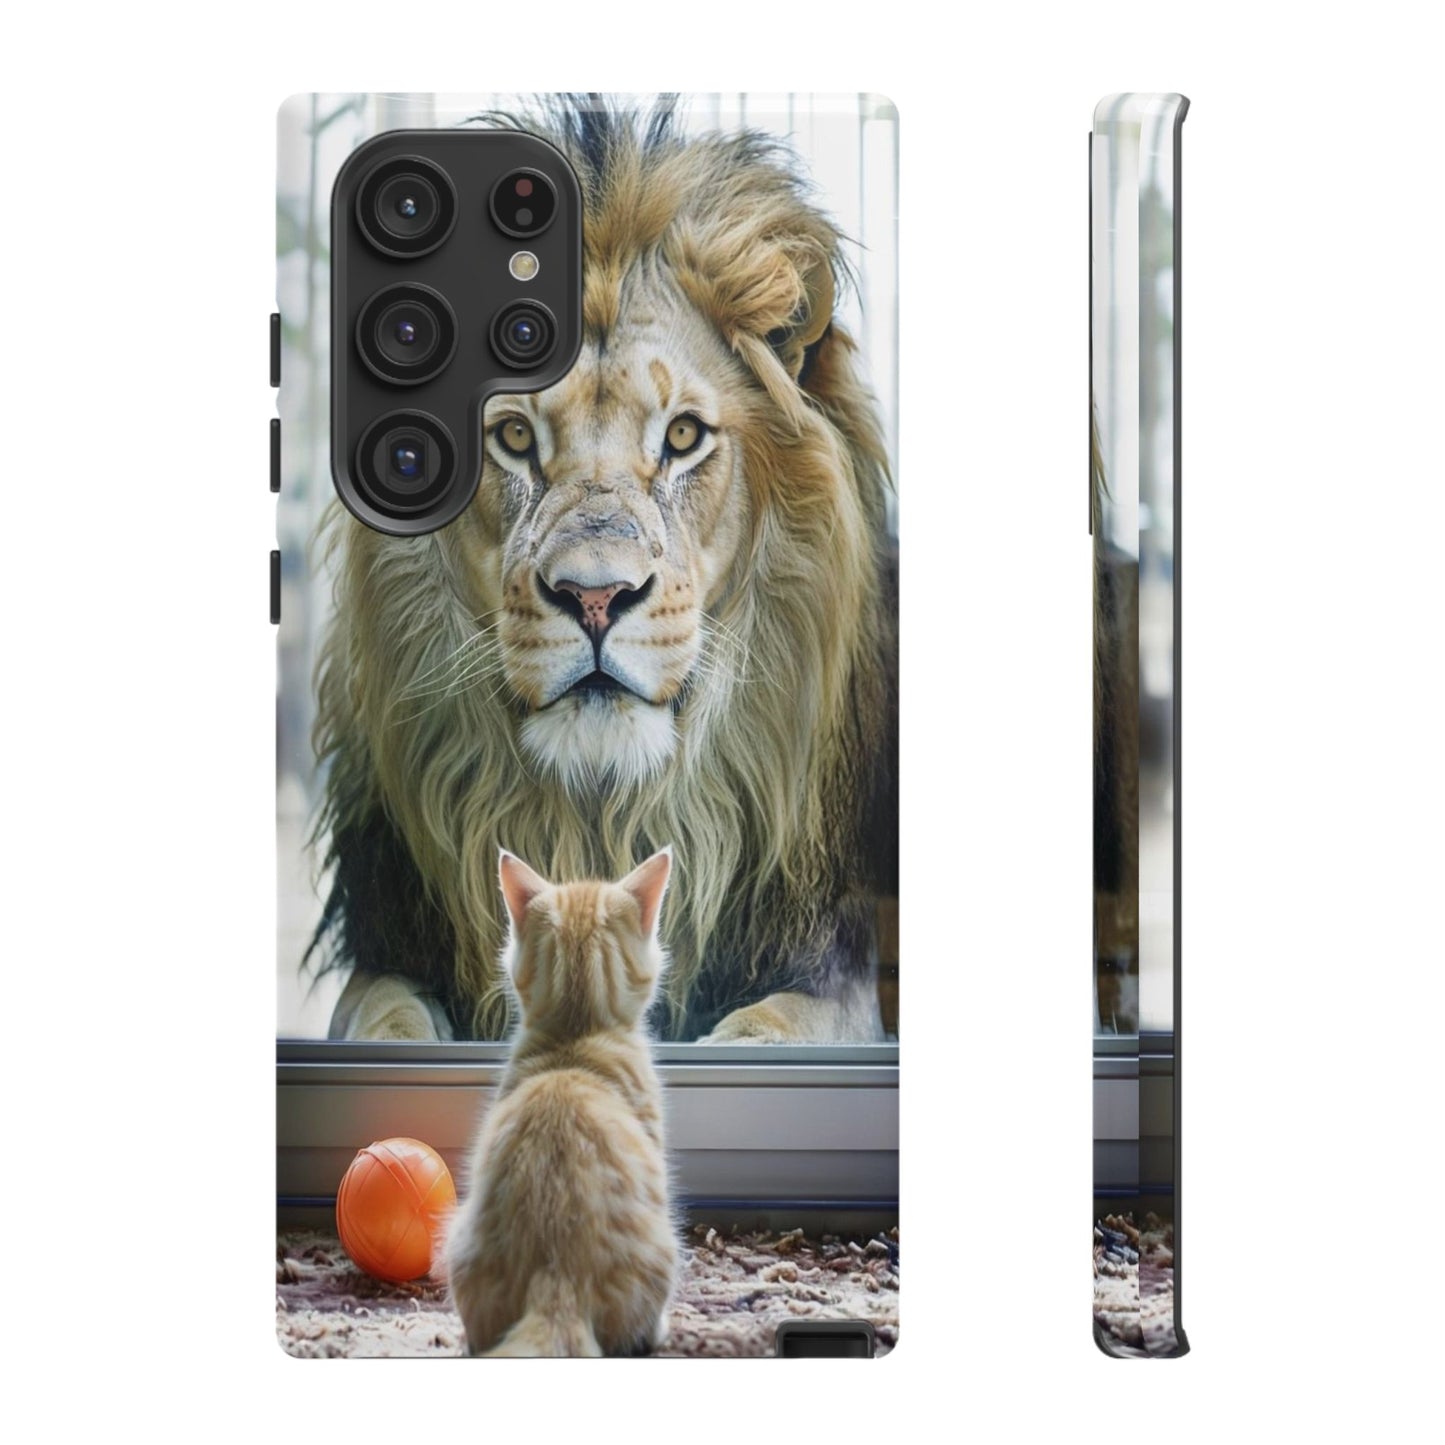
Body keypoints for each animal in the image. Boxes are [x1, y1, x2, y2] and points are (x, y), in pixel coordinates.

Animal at [307, 98, 897, 1043]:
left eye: (683, 435)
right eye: (513, 436)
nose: (594, 596)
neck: (602, 818)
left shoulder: (837, 972)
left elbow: (771, 1027)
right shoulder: (390, 955)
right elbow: (383, 1023)